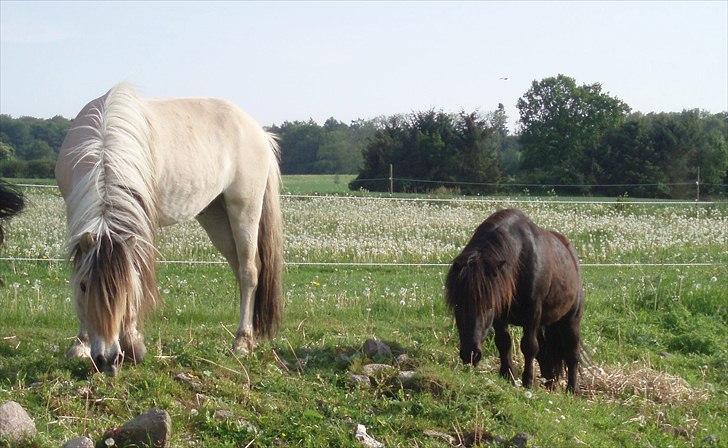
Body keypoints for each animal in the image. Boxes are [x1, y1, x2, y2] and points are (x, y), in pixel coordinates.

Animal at [55, 84, 282, 374]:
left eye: (125, 288)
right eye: (84, 287)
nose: (107, 360)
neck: (106, 143)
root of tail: (259, 132)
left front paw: (133, 343)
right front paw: (81, 345)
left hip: (244, 208)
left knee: (249, 271)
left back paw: (242, 343)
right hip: (216, 217)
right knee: (240, 269)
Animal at [444, 208, 584, 390]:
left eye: (488, 306)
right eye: (457, 305)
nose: (470, 354)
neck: (519, 261)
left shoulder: (532, 314)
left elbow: (529, 346)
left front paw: (528, 381)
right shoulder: (500, 316)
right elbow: (503, 342)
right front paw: (507, 374)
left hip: (571, 319)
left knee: (572, 354)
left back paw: (572, 389)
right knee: (546, 353)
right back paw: (549, 384)